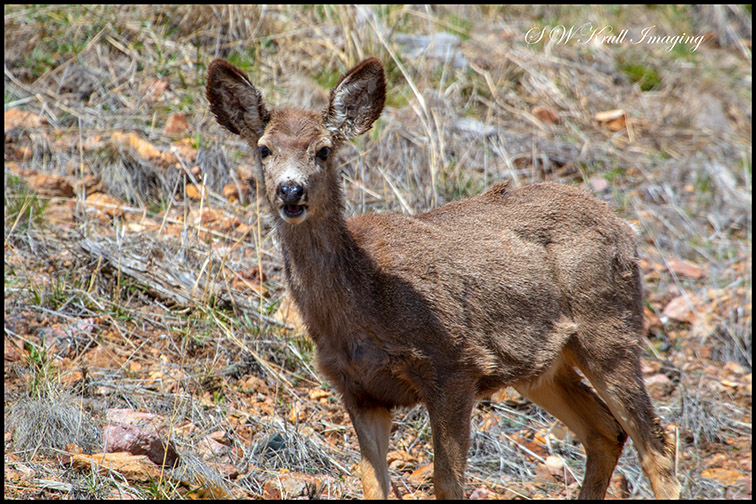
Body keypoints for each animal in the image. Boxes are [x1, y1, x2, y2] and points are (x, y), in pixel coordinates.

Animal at [206, 57, 681, 500]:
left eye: (323, 150)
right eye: (264, 149)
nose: (291, 191)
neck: (367, 299)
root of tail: (626, 227)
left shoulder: (455, 365)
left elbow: (447, 483)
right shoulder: (358, 389)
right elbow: (372, 483)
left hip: (609, 330)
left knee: (657, 442)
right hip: (547, 364)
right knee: (605, 431)